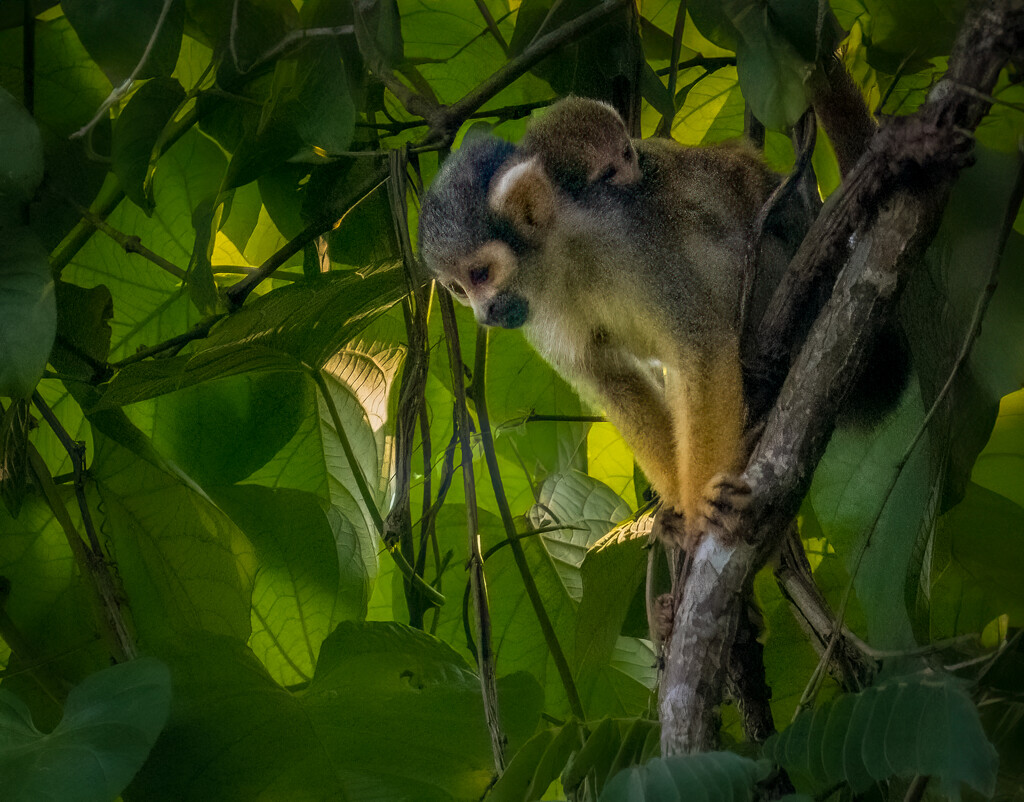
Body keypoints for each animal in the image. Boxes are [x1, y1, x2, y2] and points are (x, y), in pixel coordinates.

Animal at [415, 98, 790, 540]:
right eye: (457, 289)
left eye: (480, 274)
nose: (484, 314)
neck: (563, 257)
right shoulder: (537, 316)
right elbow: (613, 381)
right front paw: (679, 506)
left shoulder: (630, 239)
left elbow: (699, 345)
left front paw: (701, 500)